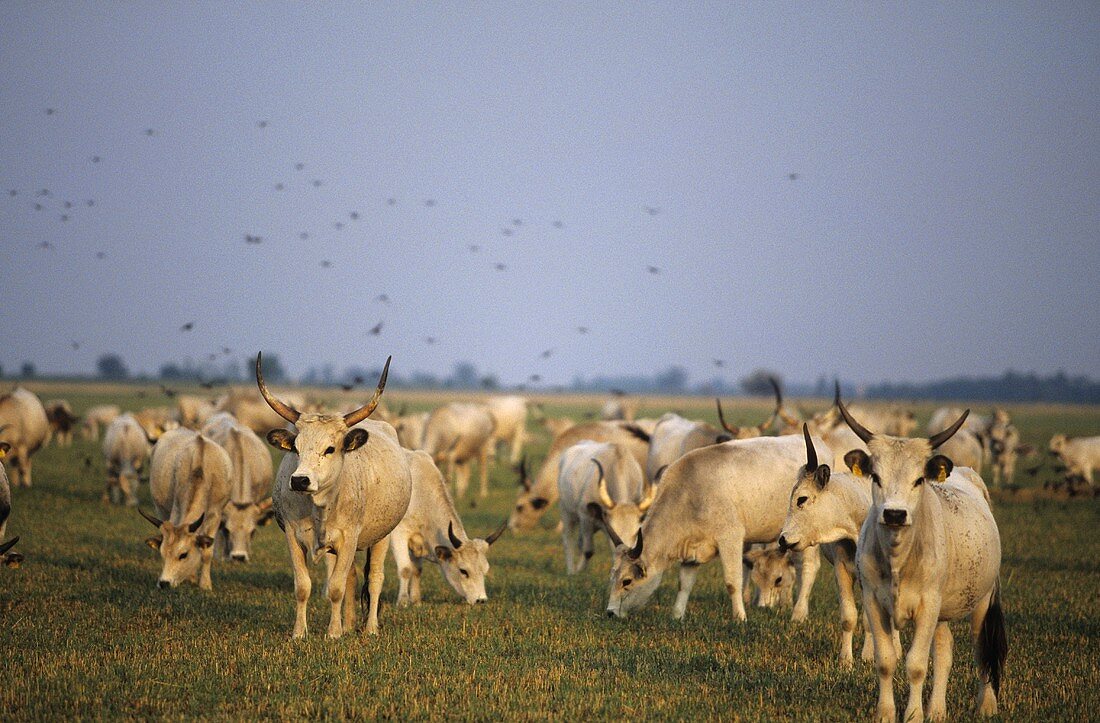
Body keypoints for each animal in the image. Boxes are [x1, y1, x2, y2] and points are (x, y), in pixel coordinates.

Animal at [257, 352, 413, 638]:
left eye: (330, 449)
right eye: (295, 448)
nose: (300, 480)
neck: (320, 506)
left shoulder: (349, 537)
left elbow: (337, 587)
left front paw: (332, 633)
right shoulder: (293, 537)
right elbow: (303, 586)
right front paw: (300, 633)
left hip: (382, 536)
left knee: (374, 579)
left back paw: (370, 628)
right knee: (352, 577)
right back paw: (349, 624)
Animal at [558, 437, 651, 572]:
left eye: (635, 533)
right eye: (614, 533)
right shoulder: (585, 516)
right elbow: (588, 551)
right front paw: (579, 572)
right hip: (567, 512)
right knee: (568, 540)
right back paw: (571, 571)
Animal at [607, 431, 827, 625]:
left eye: (627, 581)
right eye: (612, 578)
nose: (610, 613)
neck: (690, 492)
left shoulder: (730, 538)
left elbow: (732, 582)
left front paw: (740, 618)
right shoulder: (692, 550)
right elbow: (684, 584)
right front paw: (677, 616)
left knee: (807, 567)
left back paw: (799, 614)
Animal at [840, 389, 1007, 721]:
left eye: (918, 480)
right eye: (875, 477)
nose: (894, 514)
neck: (899, 560)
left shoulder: (928, 605)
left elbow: (916, 665)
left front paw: (913, 714)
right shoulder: (875, 603)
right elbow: (886, 661)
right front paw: (886, 713)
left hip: (981, 600)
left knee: (982, 648)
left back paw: (986, 705)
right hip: (942, 612)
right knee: (944, 651)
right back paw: (938, 710)